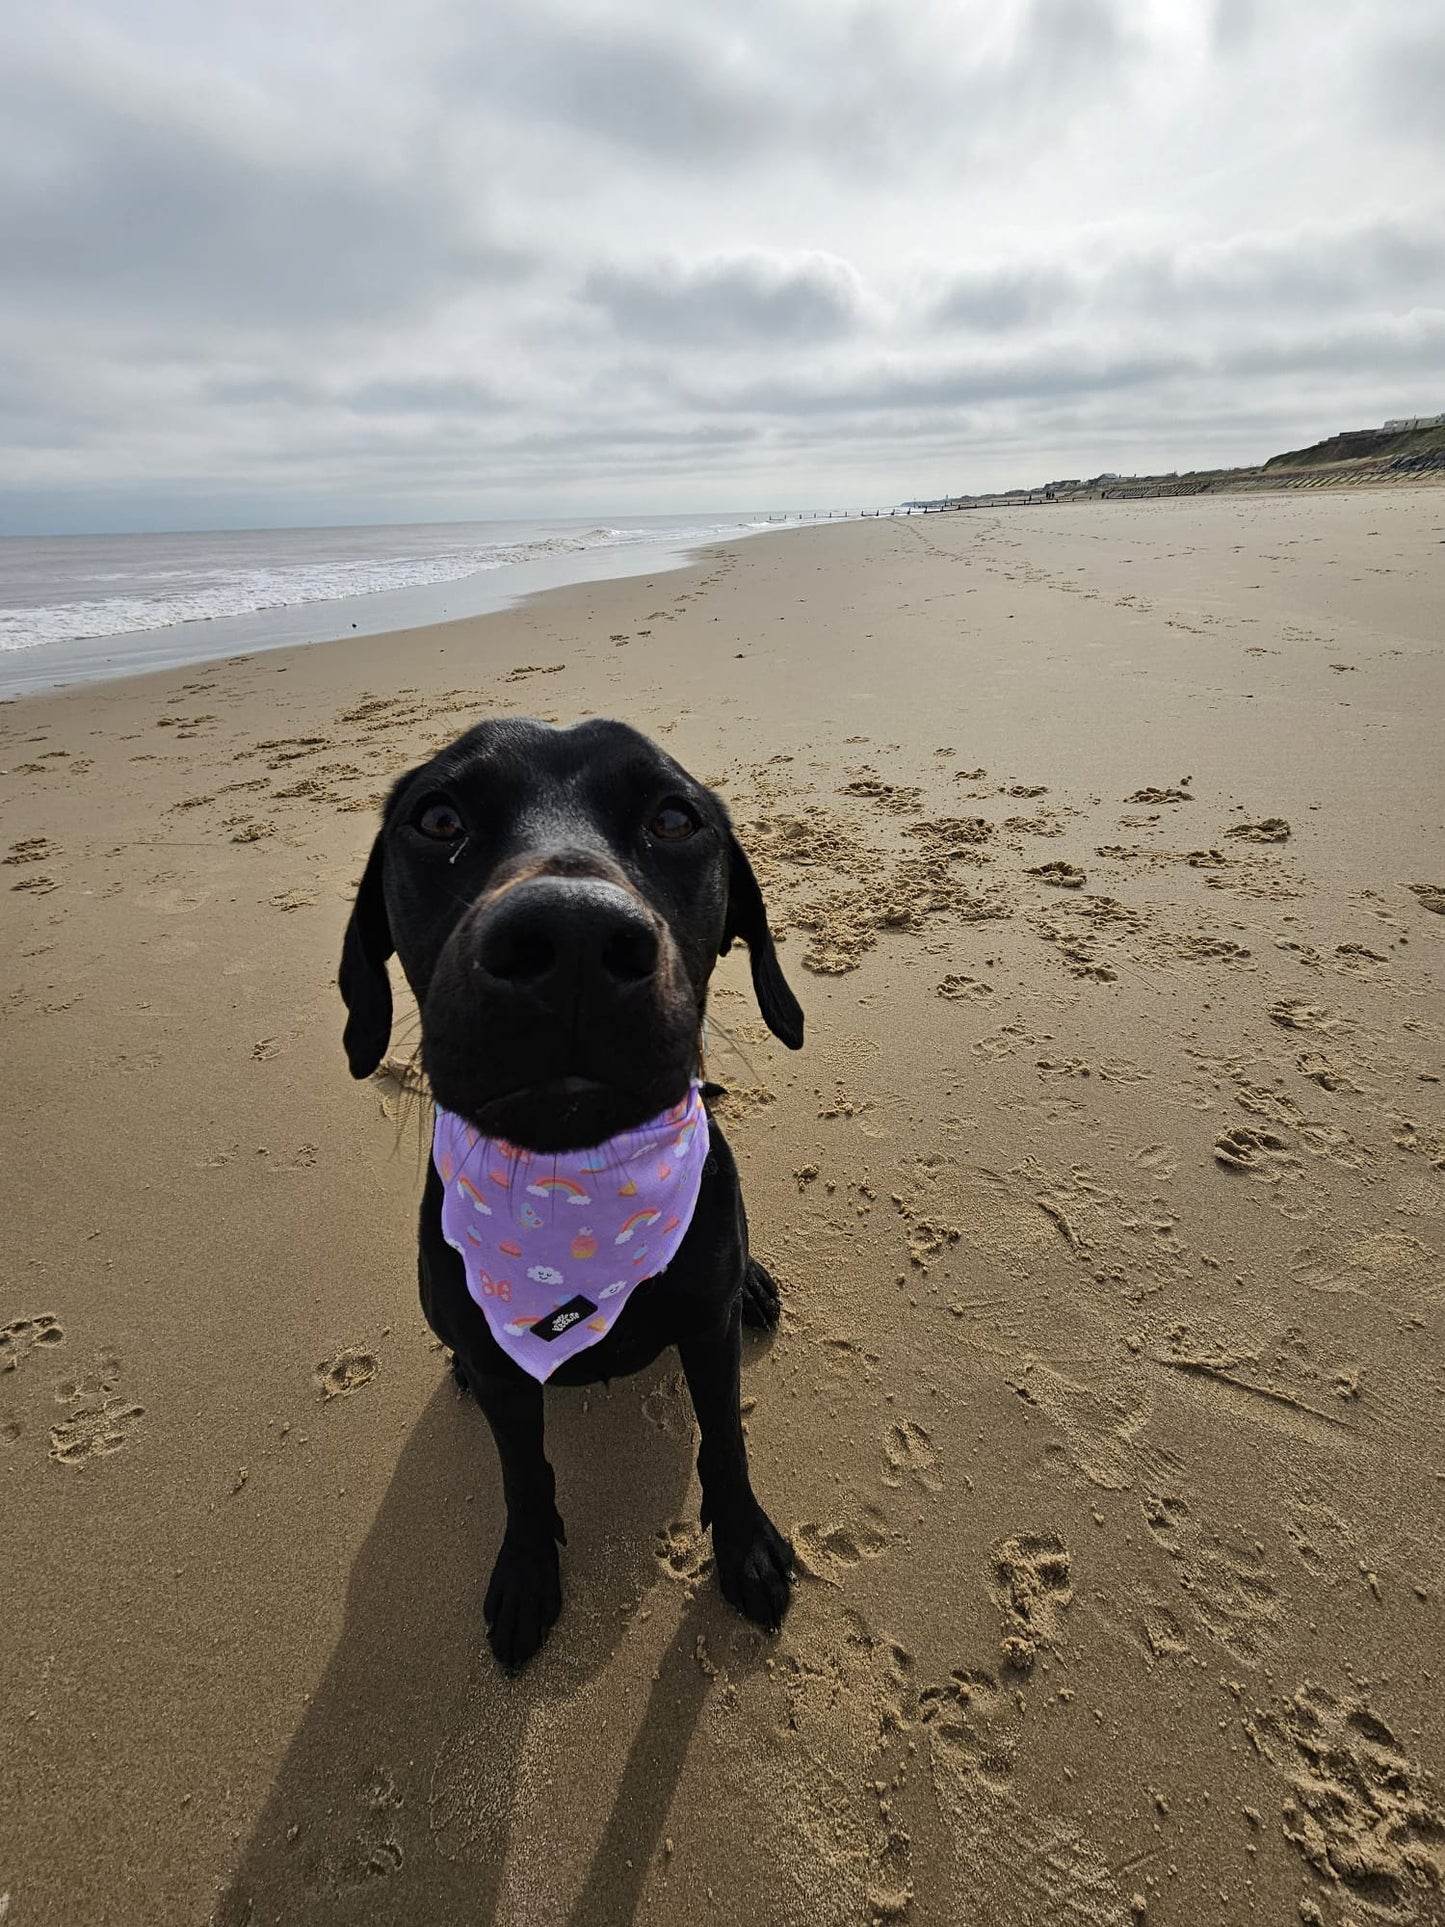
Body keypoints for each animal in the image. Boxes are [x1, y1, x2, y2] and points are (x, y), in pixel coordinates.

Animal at [344, 724, 809, 1672]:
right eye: (437, 817)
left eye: (673, 818)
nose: (570, 937)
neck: (572, 1196)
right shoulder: (502, 1371)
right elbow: (523, 1475)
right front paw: (526, 1575)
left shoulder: (704, 1331)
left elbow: (726, 1444)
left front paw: (744, 1547)